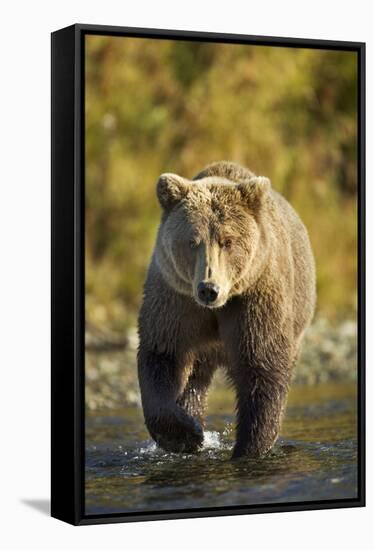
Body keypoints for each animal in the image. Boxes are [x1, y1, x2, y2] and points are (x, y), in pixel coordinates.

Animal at [137, 162, 316, 460]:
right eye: (192, 241)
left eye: (227, 241)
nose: (209, 289)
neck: (217, 308)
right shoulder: (175, 299)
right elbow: (163, 355)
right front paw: (186, 435)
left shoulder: (254, 298)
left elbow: (262, 365)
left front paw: (249, 448)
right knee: (194, 380)